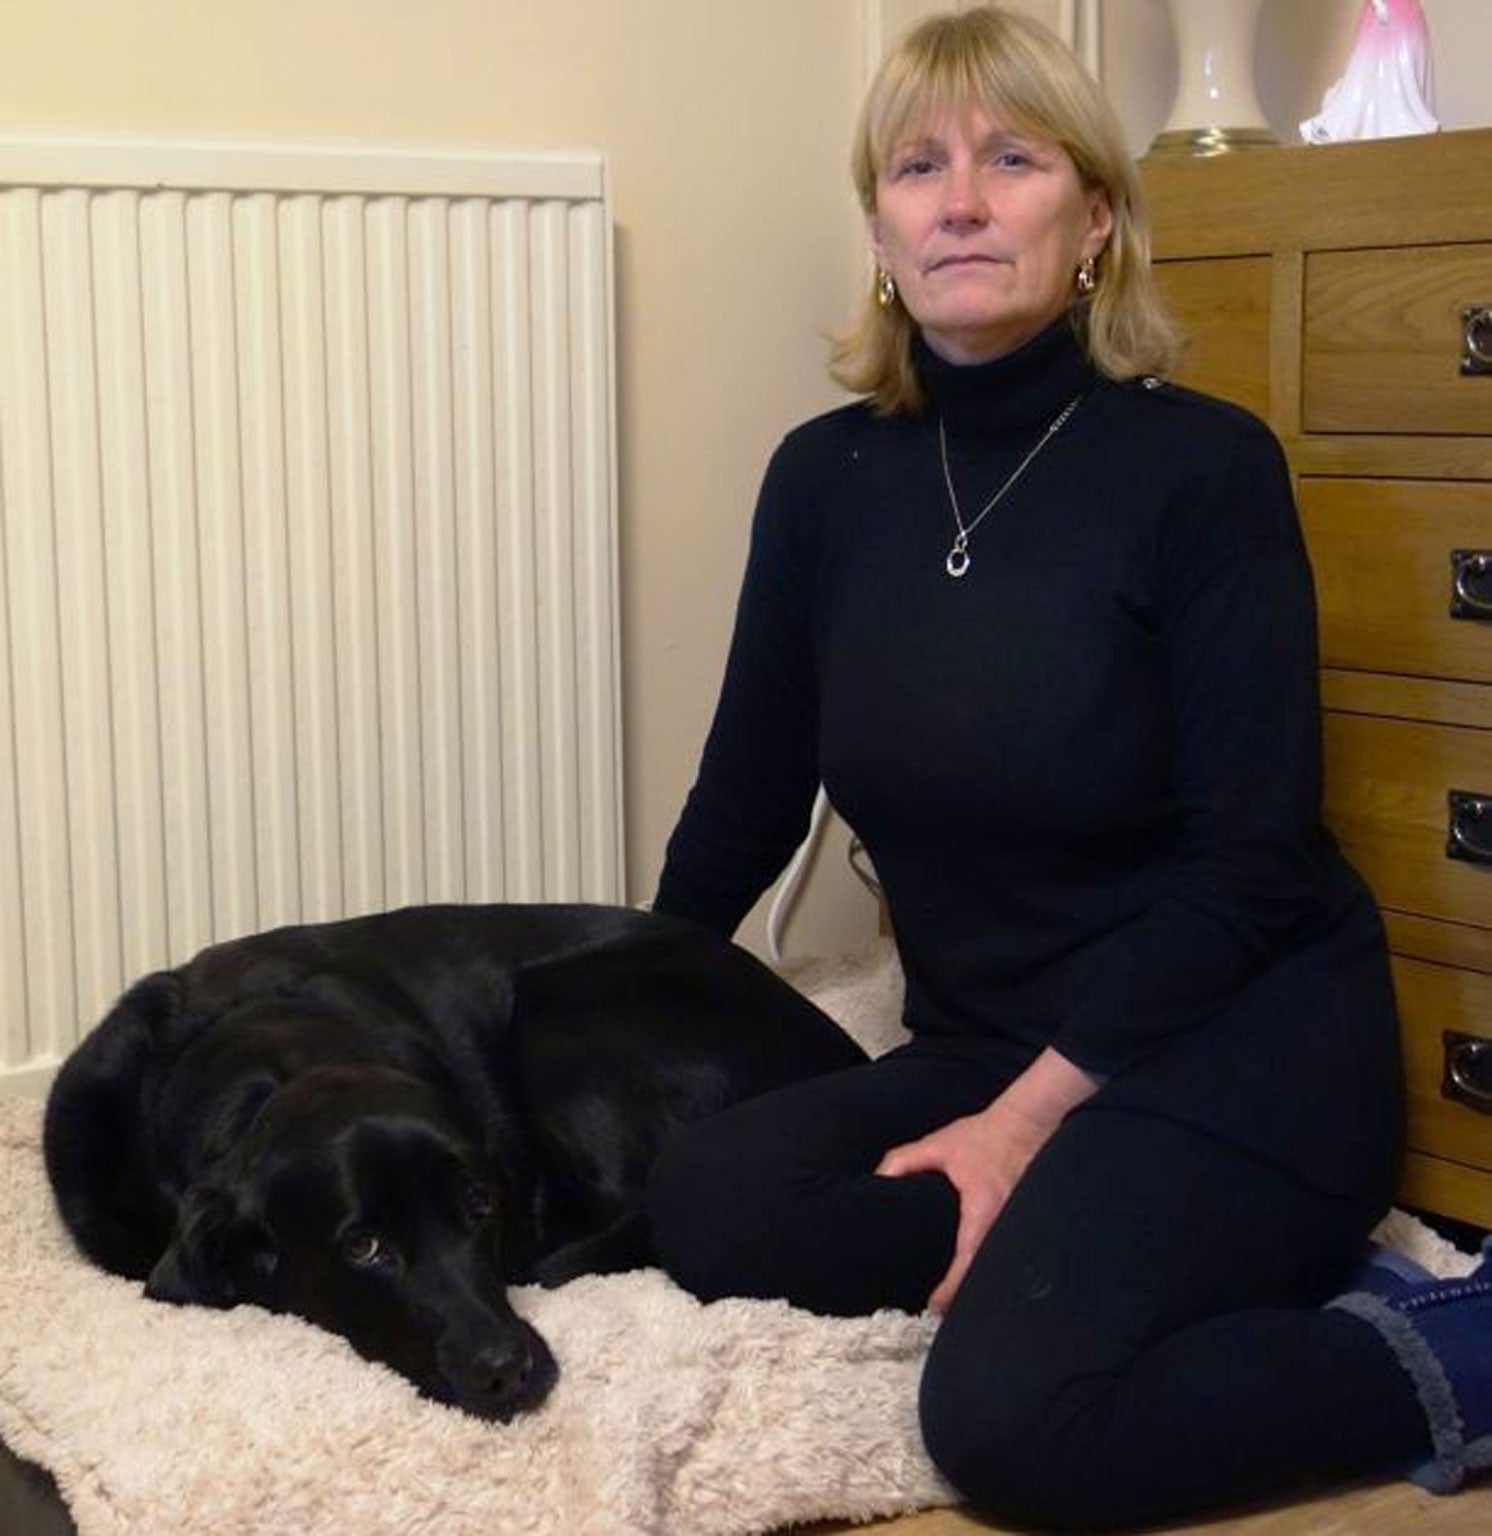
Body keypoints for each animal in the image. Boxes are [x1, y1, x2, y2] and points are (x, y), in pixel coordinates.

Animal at [43, 903, 860, 1419]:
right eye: (362, 1247)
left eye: (480, 1205)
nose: (506, 1371)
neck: (266, 1059)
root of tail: (841, 1055)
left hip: (562, 1009)